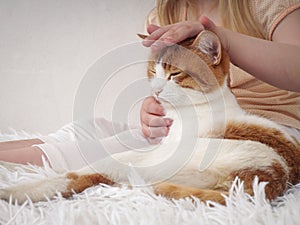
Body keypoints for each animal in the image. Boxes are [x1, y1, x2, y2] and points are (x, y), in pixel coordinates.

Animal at [0, 30, 300, 205]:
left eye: (174, 74)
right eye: (153, 72)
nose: (154, 90)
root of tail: (268, 179)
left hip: (153, 159)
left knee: (82, 172)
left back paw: (13, 190)